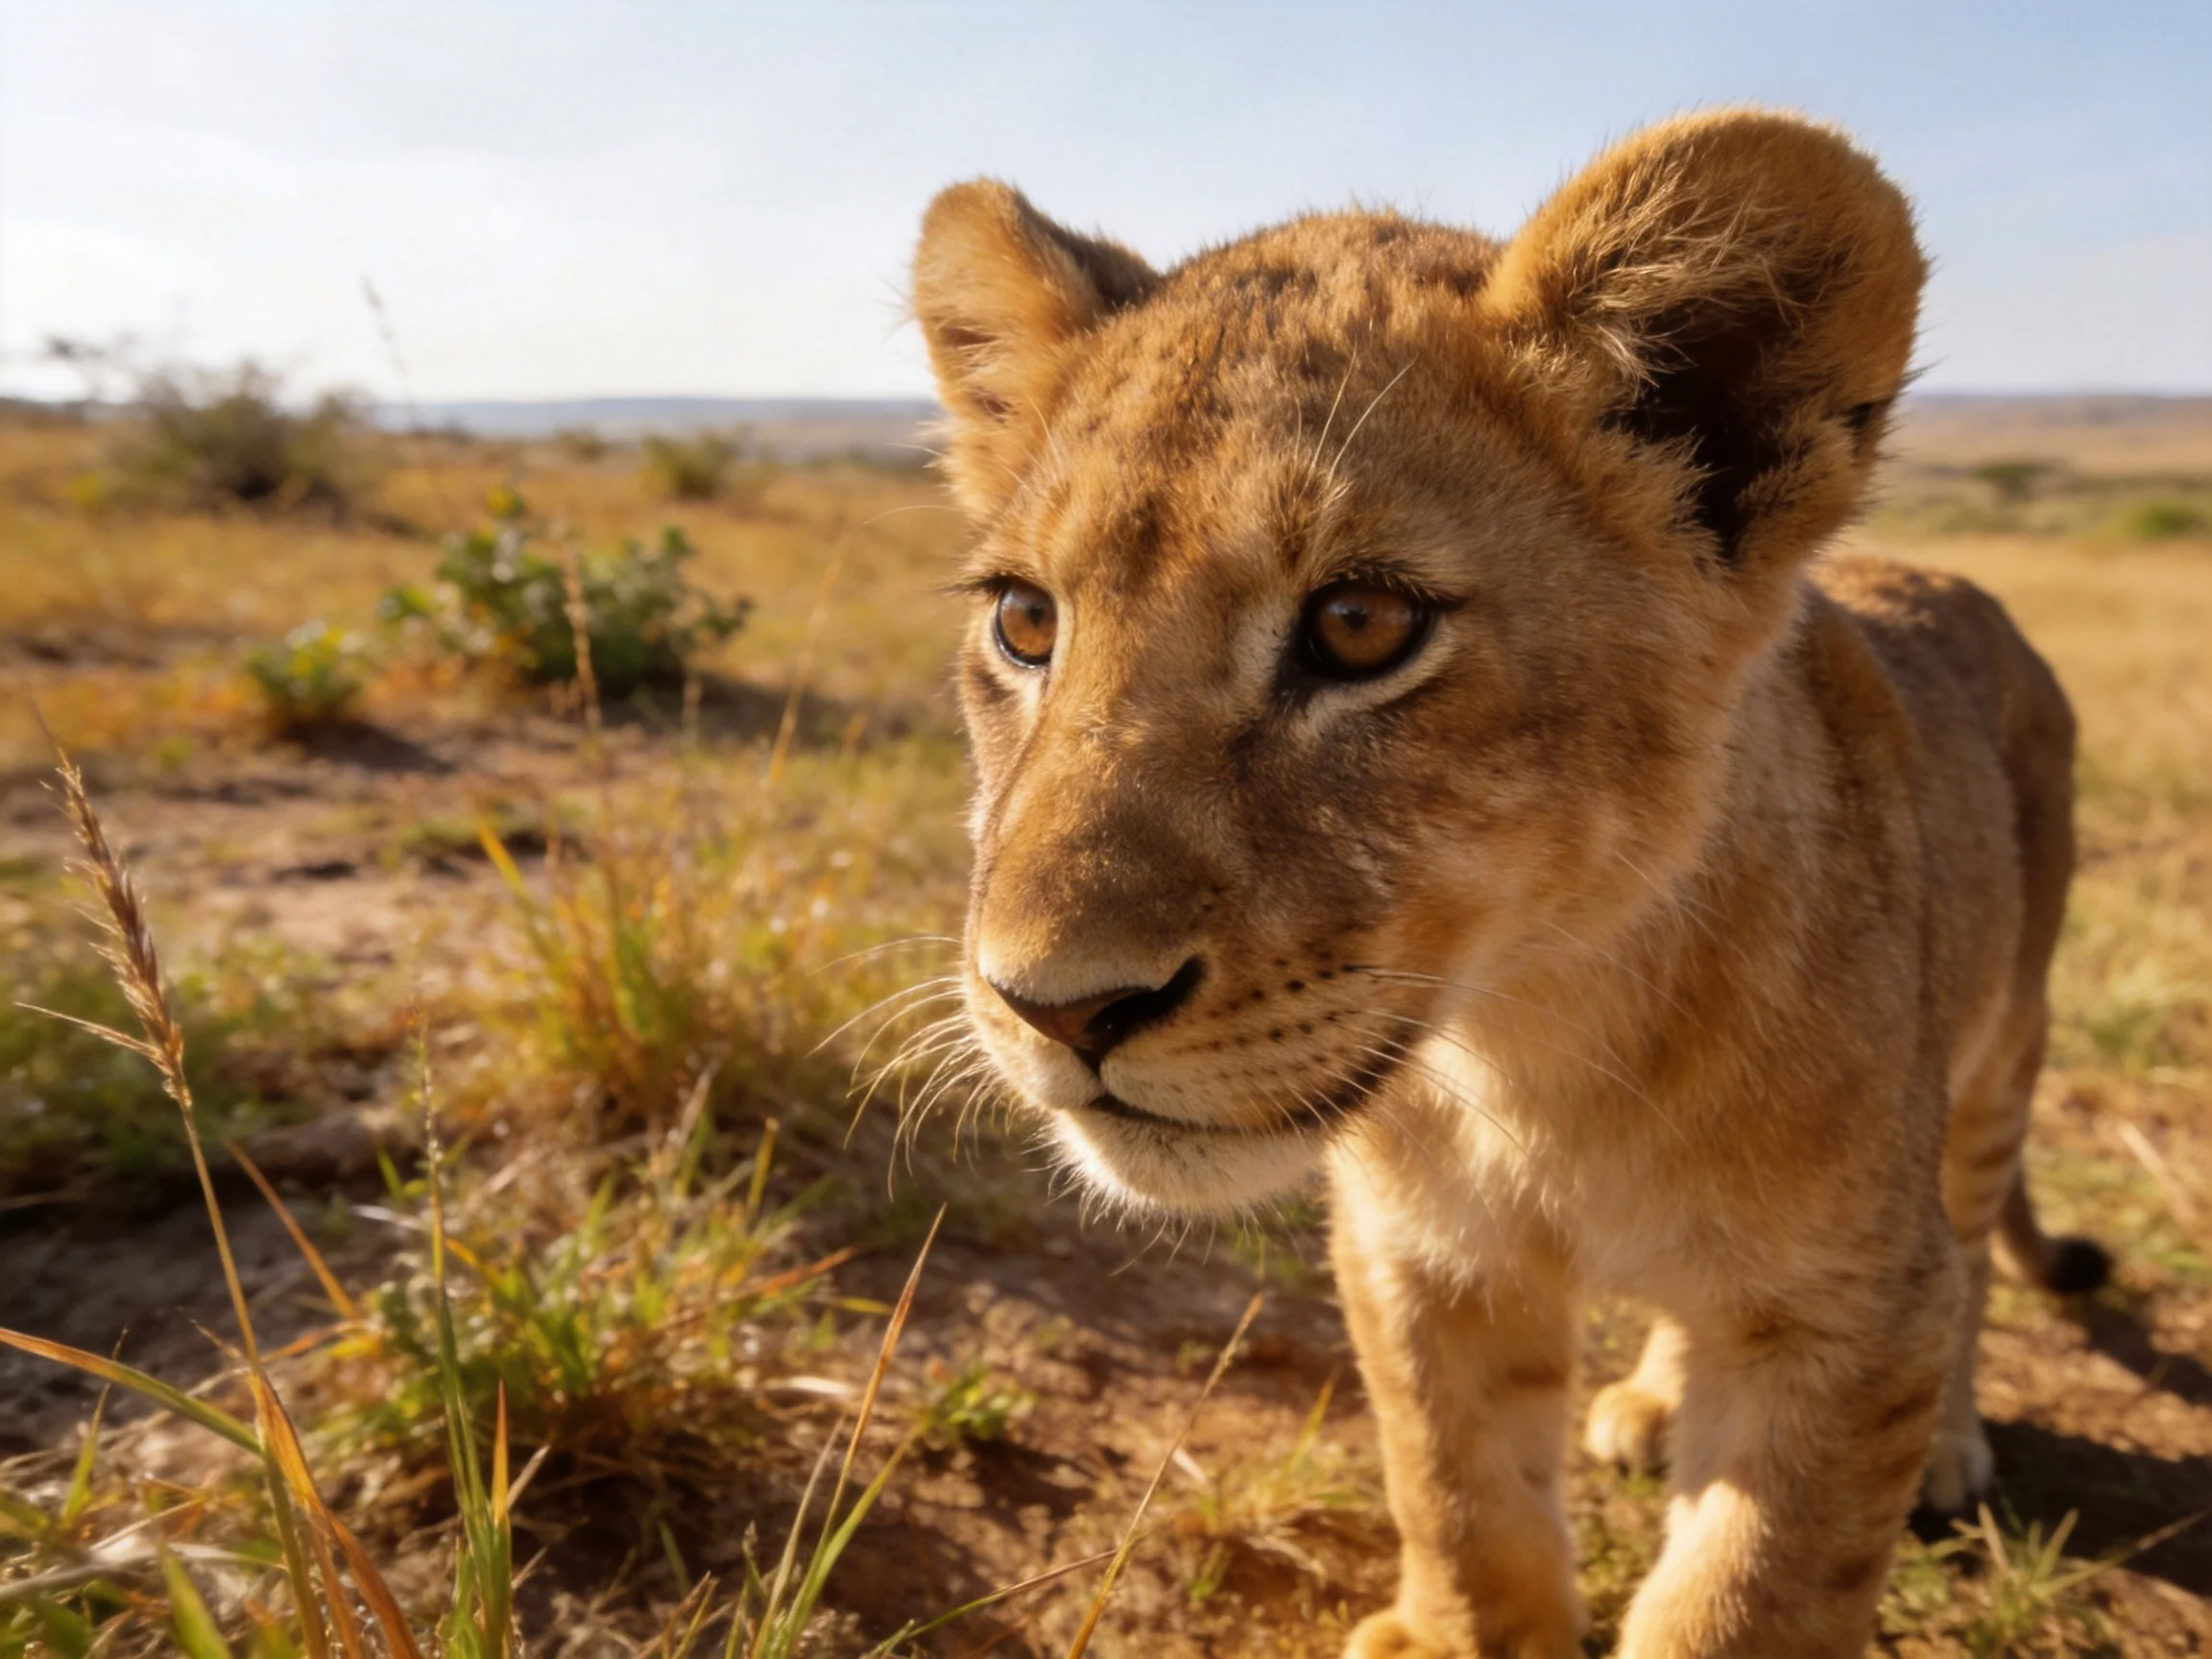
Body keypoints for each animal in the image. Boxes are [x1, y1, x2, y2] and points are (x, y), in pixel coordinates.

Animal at [907, 108, 2108, 1658]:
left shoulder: (1850, 1319)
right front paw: (1457, 1617)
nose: (1054, 1008)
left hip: (1998, 1053)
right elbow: (1460, 1492)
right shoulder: (1418, 1256)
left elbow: (1747, 1598)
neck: (1531, 1046)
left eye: (1363, 624)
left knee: (1968, 1241)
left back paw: (1952, 1446)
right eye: (1025, 620)